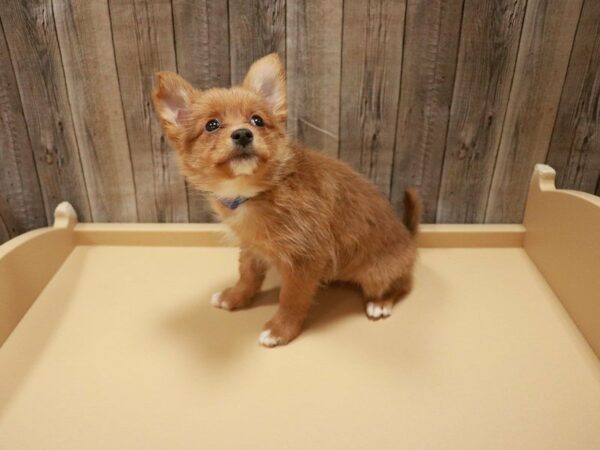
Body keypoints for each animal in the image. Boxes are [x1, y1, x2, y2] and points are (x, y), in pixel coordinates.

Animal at [152, 53, 420, 348]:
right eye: (211, 125)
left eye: (257, 120)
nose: (243, 134)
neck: (257, 192)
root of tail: (409, 238)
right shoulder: (252, 247)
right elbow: (247, 276)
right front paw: (233, 297)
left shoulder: (304, 261)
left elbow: (291, 299)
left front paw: (280, 330)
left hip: (376, 274)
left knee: (402, 284)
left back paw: (380, 303)